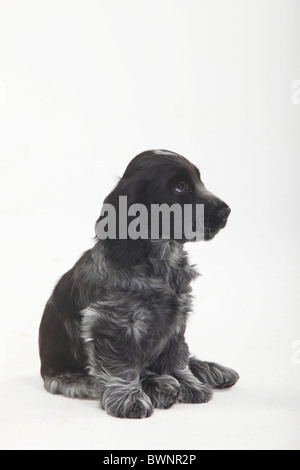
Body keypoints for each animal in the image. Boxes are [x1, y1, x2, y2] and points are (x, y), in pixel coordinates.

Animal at [39, 149, 239, 416]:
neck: (159, 261)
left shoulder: (177, 318)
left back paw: (211, 370)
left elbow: (177, 355)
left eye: (199, 181)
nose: (226, 211)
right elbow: (120, 366)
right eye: (180, 187)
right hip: (64, 377)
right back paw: (159, 385)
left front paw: (189, 384)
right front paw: (129, 399)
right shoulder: (112, 322)